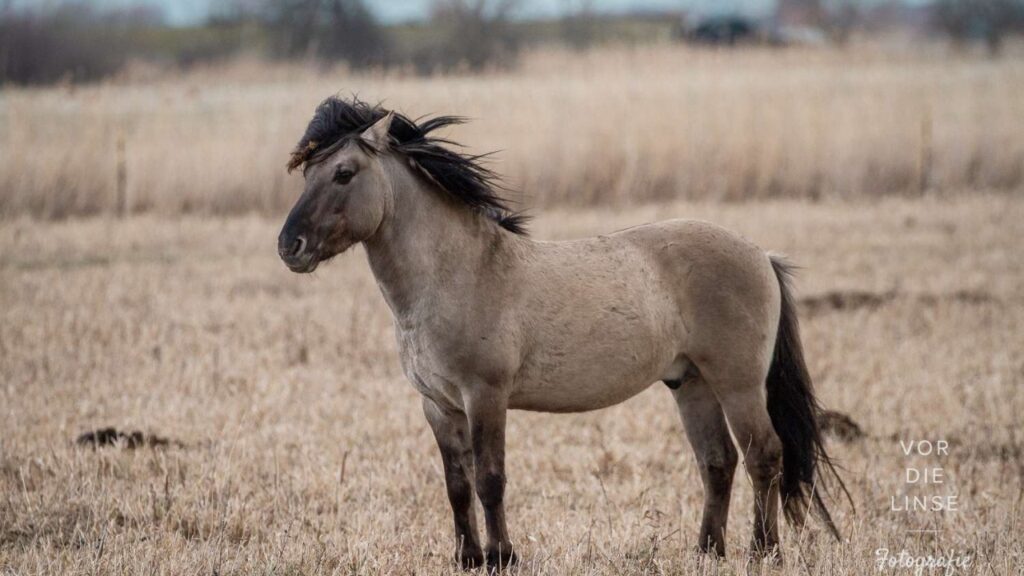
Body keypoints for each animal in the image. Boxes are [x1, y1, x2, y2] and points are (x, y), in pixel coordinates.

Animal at [277, 97, 846, 570]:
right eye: (306, 174)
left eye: (344, 173)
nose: (290, 246)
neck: (456, 272)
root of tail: (761, 255)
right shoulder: (438, 405)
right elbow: (457, 485)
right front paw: (467, 558)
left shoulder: (485, 396)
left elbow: (490, 479)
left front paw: (502, 557)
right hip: (692, 383)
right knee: (718, 461)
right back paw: (708, 551)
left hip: (738, 384)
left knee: (763, 456)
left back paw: (763, 552)